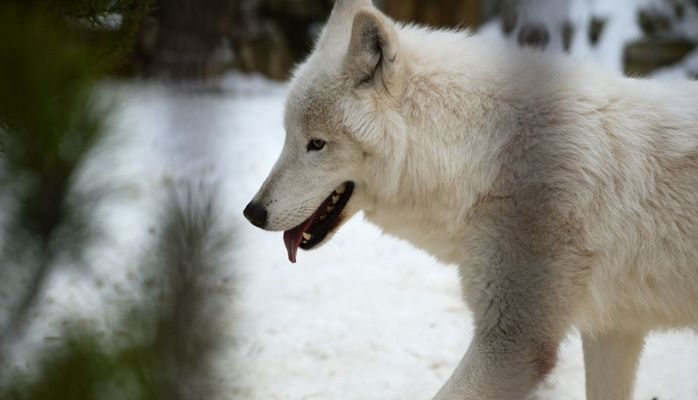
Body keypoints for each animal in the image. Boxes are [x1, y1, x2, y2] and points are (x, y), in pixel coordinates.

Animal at [241, 1, 696, 398]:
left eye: (316, 143)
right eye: (288, 136)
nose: (251, 212)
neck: (487, 157)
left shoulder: (513, 345)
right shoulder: (611, 330)